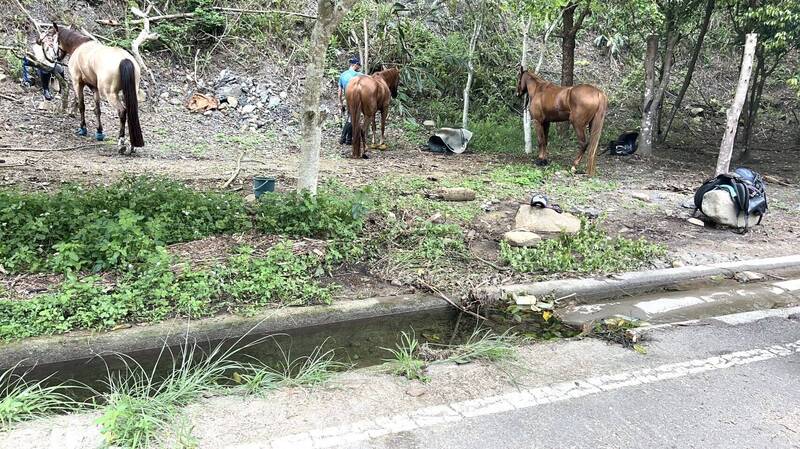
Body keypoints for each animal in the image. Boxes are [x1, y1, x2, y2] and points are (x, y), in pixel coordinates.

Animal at [38, 23, 144, 154]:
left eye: (53, 40)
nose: (54, 57)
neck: (79, 46)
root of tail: (125, 59)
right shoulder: (94, 88)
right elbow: (97, 110)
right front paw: (99, 132)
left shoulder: (77, 83)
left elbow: (81, 106)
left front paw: (83, 128)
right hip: (129, 92)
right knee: (130, 111)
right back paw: (132, 146)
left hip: (110, 94)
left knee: (122, 112)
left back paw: (121, 143)